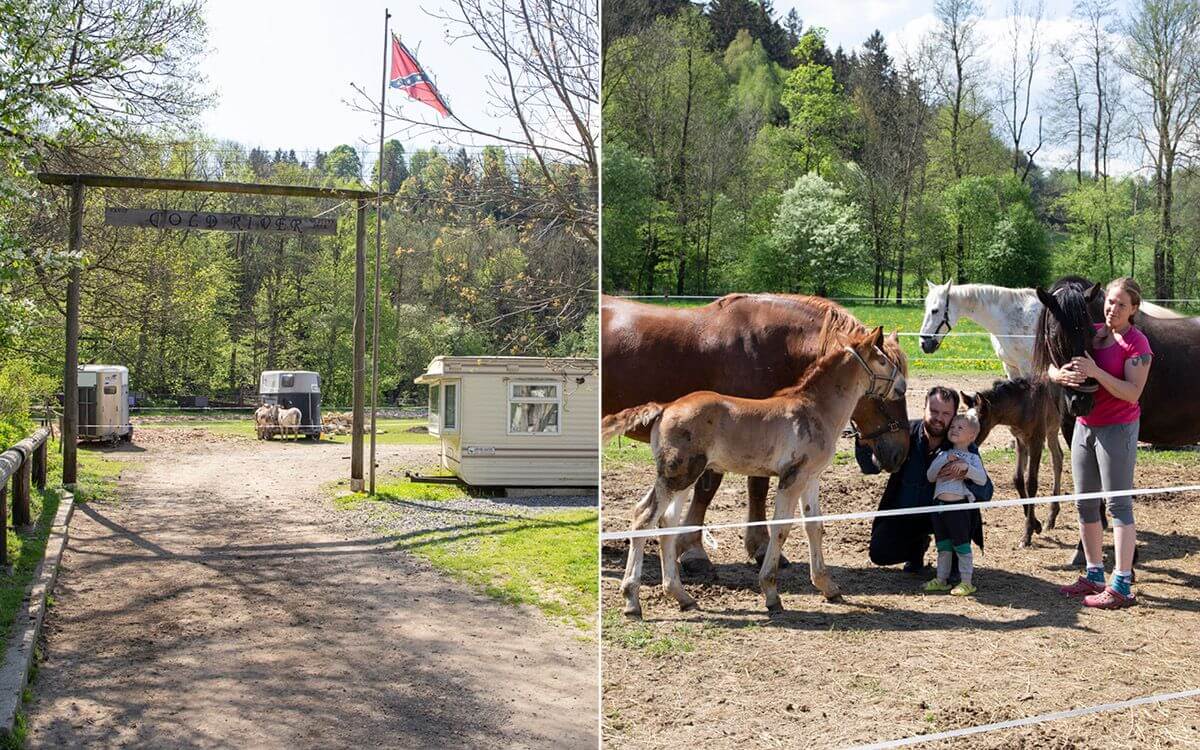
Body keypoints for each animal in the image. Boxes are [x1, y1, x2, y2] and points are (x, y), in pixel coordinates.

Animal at [604, 326, 902, 614]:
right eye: (883, 360)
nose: (901, 387)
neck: (815, 409)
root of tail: (664, 408)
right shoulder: (792, 478)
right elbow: (781, 528)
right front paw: (771, 593)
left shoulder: (811, 478)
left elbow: (814, 526)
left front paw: (828, 587)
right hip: (677, 476)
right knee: (644, 517)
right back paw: (632, 601)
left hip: (683, 477)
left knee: (665, 522)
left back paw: (682, 596)